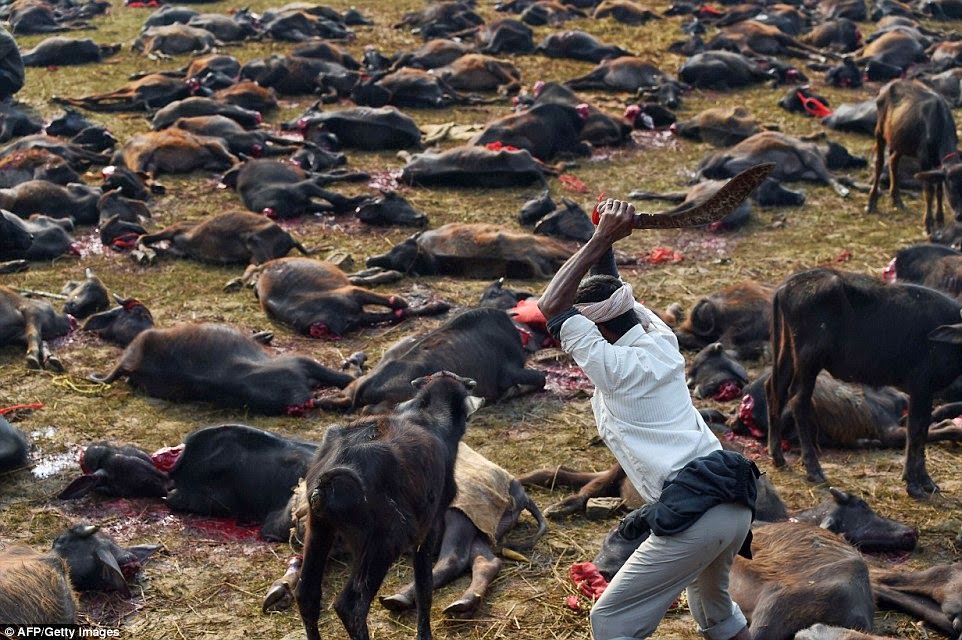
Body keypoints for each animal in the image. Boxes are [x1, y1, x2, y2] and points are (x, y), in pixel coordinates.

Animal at [292, 372, 472, 640]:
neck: (429, 418)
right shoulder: (428, 529)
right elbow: (424, 586)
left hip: (319, 529)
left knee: (307, 595)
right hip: (382, 544)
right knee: (351, 606)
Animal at [768, 268, 962, 498]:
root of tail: (785, 287)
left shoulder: (925, 393)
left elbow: (921, 430)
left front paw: (925, 481)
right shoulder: (921, 388)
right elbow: (915, 431)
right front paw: (914, 483)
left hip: (787, 350)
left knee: (774, 390)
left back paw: (778, 457)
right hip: (809, 359)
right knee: (798, 399)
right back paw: (813, 469)